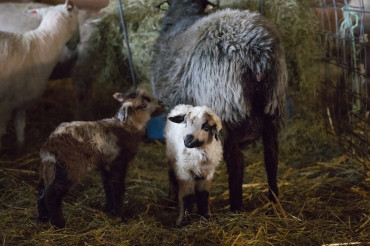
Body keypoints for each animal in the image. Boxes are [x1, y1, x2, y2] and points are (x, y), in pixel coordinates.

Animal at [0, 0, 80, 151]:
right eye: (77, 16)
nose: (77, 42)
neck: (39, 46)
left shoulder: (21, 100)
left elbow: (20, 126)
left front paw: (20, 147)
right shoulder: (5, 105)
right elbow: (2, 131)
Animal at [152, 0, 288, 211]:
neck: (183, 16)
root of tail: (259, 52)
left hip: (225, 111)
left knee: (237, 161)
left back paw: (236, 206)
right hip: (274, 108)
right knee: (271, 155)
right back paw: (273, 199)